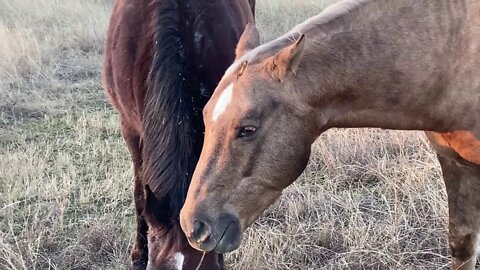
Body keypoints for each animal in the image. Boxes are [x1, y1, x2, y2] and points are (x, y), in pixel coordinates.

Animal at [179, 0, 480, 268]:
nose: (194, 227)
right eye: (206, 116)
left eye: (247, 129)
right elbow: (462, 243)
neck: (452, 49)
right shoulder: (453, 160)